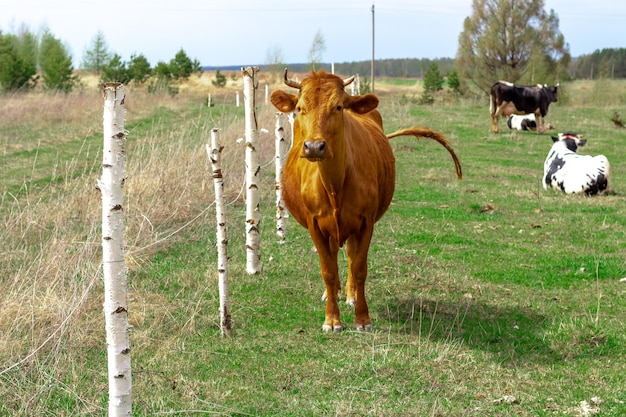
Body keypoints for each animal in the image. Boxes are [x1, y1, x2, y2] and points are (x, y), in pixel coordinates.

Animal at [270, 70, 460, 332]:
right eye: (299, 108)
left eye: (338, 107)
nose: (314, 147)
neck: (334, 185)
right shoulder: (314, 224)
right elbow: (328, 270)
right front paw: (332, 319)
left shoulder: (365, 222)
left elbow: (359, 268)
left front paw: (362, 318)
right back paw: (332, 293)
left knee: (350, 256)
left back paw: (349, 294)